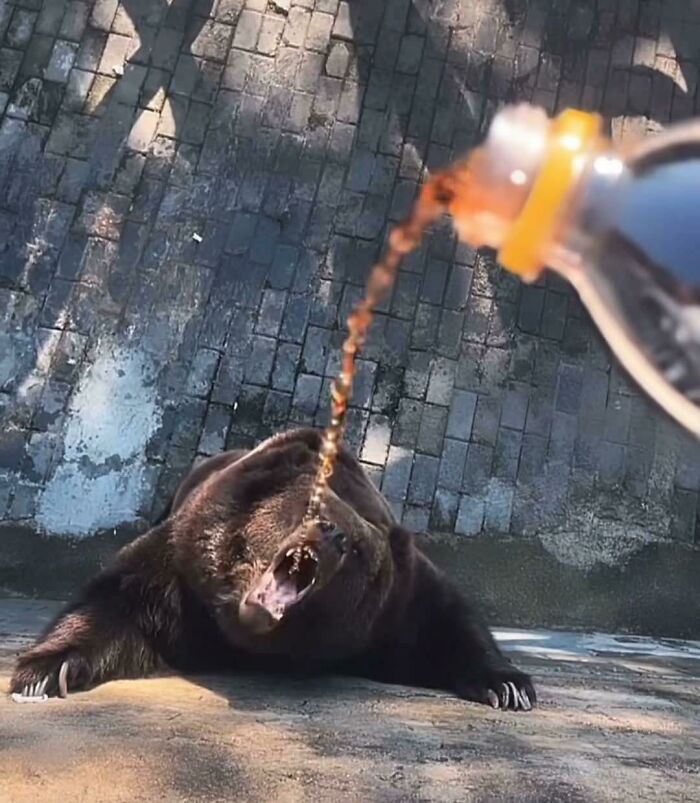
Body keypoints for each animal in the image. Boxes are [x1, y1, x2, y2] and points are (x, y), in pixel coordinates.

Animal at [11, 428, 535, 711]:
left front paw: (509, 686)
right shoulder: (181, 569)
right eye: (312, 505)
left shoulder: (390, 611)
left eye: (359, 550)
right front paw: (45, 671)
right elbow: (118, 600)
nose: (332, 534)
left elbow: (443, 622)